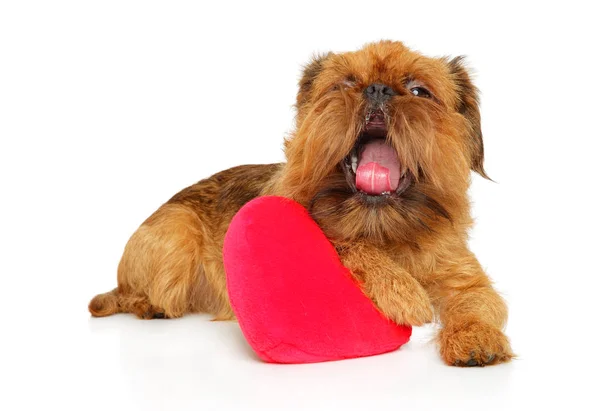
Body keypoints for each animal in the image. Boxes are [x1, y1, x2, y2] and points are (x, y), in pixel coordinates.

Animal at [90, 41, 516, 366]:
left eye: (419, 92)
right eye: (344, 84)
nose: (377, 88)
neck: (384, 229)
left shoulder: (465, 280)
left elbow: (479, 304)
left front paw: (476, 337)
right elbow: (346, 243)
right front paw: (405, 293)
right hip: (179, 230)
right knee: (136, 292)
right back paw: (149, 305)